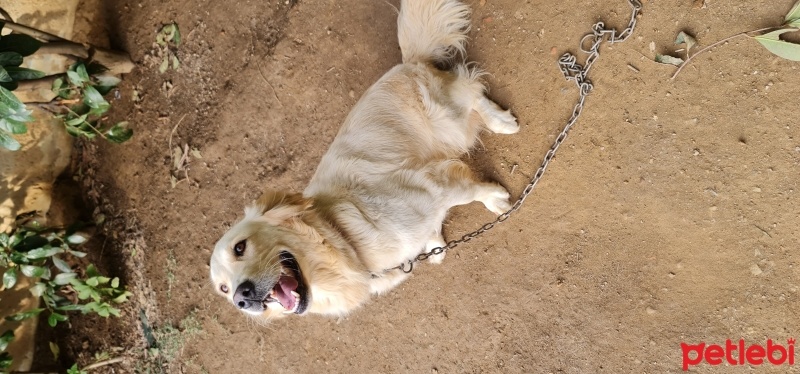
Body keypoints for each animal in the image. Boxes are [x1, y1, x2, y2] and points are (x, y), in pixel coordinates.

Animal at [209, 0, 520, 320]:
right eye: (223, 289)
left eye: (240, 247)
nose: (241, 297)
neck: (340, 237)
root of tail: (407, 63)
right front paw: (434, 241)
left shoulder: (432, 188)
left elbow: (473, 191)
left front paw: (495, 199)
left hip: (450, 122)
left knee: (472, 91)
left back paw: (501, 122)